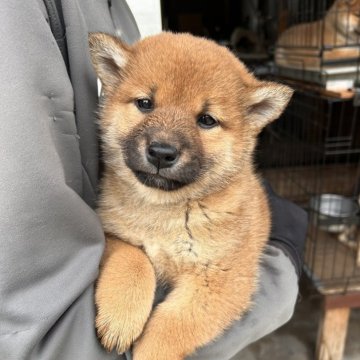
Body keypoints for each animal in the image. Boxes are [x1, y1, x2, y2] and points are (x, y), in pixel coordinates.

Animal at [89, 31, 292, 360]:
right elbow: (135, 262)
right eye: (145, 103)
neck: (164, 212)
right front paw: (122, 317)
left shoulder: (219, 281)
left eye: (207, 120)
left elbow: (170, 328)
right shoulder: (112, 233)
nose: (161, 152)